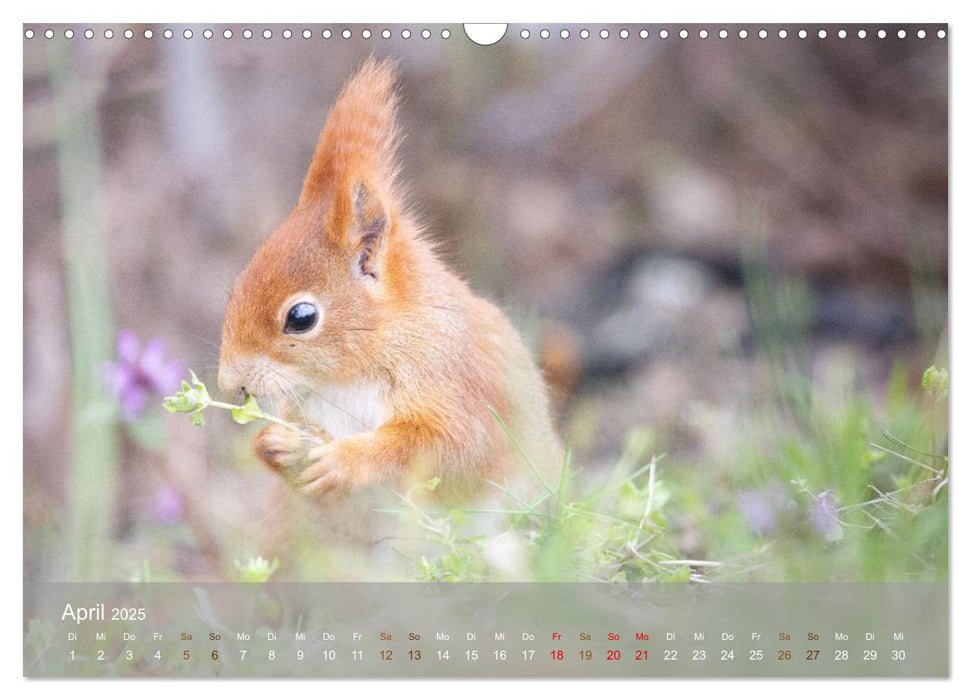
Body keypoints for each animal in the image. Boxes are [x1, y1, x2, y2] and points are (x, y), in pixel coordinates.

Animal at [215, 58, 560, 498]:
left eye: (301, 318)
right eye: (236, 289)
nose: (230, 384)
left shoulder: (455, 380)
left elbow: (453, 448)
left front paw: (343, 461)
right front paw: (276, 442)